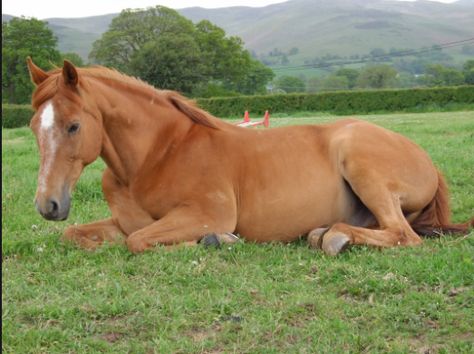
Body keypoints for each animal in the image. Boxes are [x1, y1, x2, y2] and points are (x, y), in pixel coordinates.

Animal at [26, 59, 474, 256]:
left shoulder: (206, 213)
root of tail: (426, 160)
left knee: (403, 235)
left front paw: (216, 240)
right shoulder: (122, 222)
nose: (48, 205)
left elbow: (138, 243)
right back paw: (323, 232)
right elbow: (77, 235)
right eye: (33, 126)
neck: (156, 155)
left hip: (361, 164)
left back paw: (334, 237)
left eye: (73, 126)